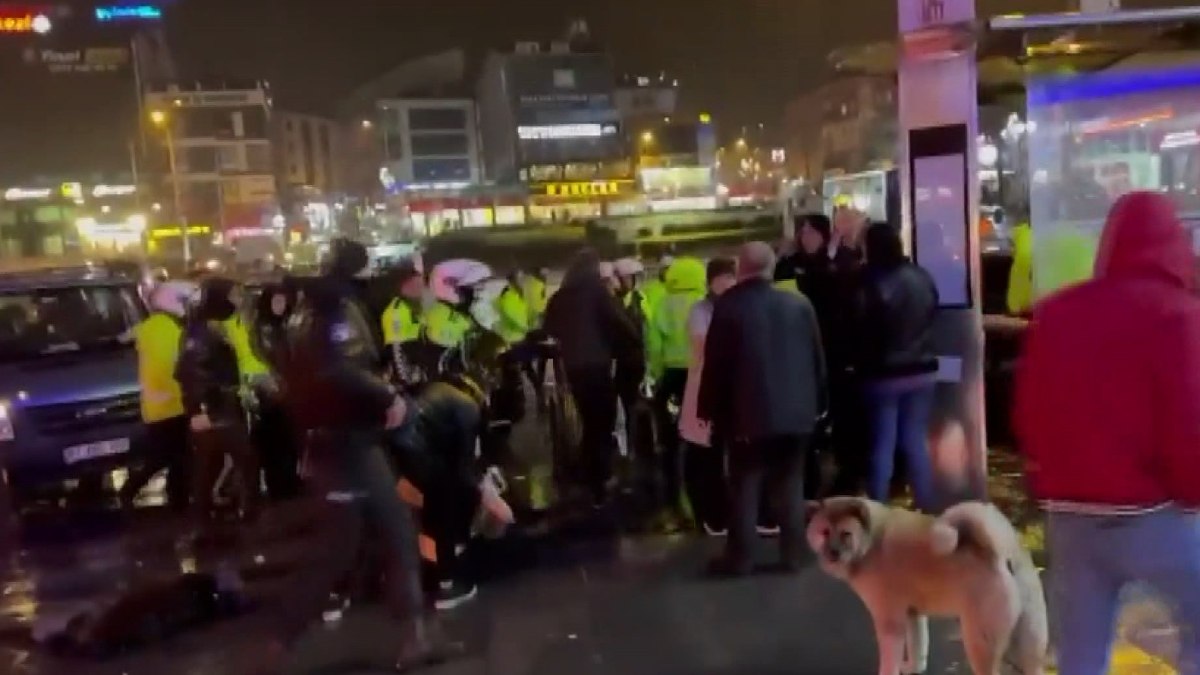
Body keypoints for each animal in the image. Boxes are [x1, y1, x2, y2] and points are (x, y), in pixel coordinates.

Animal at [806, 494, 1051, 672]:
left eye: (845, 534)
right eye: (824, 532)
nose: (833, 553)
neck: (870, 541)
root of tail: (1002, 552)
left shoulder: (890, 621)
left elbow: (890, 659)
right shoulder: (912, 614)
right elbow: (917, 648)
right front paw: (913, 668)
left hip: (979, 640)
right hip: (1029, 641)